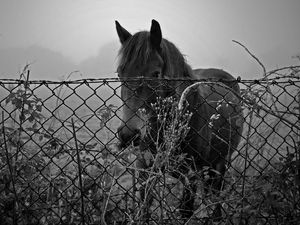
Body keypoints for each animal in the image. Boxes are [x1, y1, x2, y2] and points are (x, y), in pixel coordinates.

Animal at [115, 19, 244, 221]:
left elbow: (185, 211)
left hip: (220, 163)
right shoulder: (145, 168)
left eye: (156, 74)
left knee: (215, 195)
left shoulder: (190, 175)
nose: (129, 134)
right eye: (120, 74)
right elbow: (144, 208)